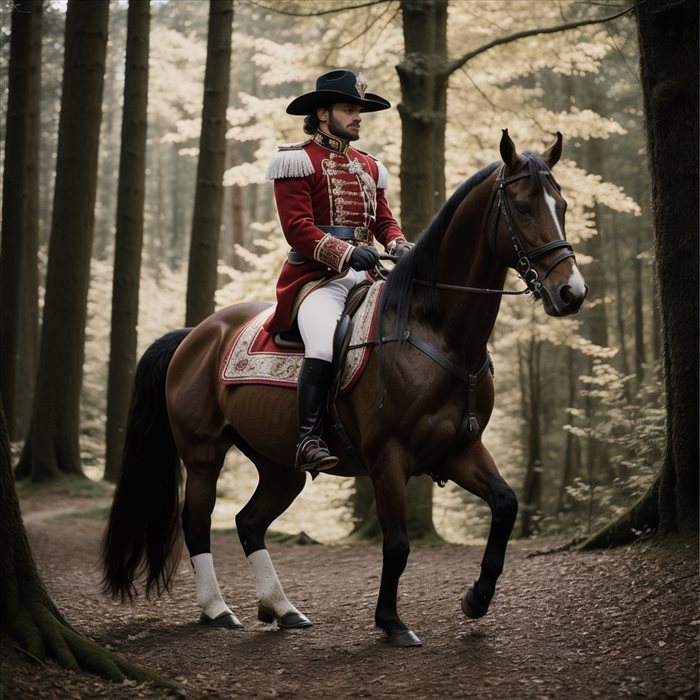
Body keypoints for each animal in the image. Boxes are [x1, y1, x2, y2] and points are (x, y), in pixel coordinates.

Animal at [102, 130, 584, 644]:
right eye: (523, 206)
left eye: (562, 204)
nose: (571, 293)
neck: (435, 333)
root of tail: (194, 335)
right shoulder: (388, 456)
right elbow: (397, 545)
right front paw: (391, 622)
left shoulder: (460, 449)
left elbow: (506, 504)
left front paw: (477, 597)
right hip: (203, 454)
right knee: (197, 524)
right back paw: (217, 609)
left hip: (280, 465)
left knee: (248, 522)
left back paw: (282, 607)